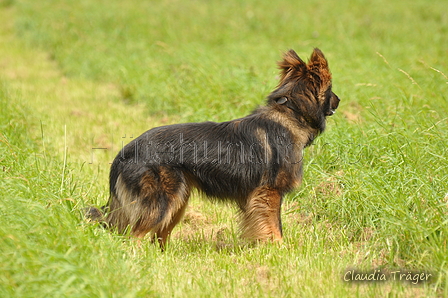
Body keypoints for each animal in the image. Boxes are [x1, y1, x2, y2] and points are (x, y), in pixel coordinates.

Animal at [88, 48, 340, 249]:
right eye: (331, 89)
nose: (339, 101)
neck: (290, 113)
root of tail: (124, 152)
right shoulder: (270, 192)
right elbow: (274, 225)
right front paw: (280, 250)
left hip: (178, 201)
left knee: (158, 236)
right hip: (161, 202)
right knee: (135, 236)